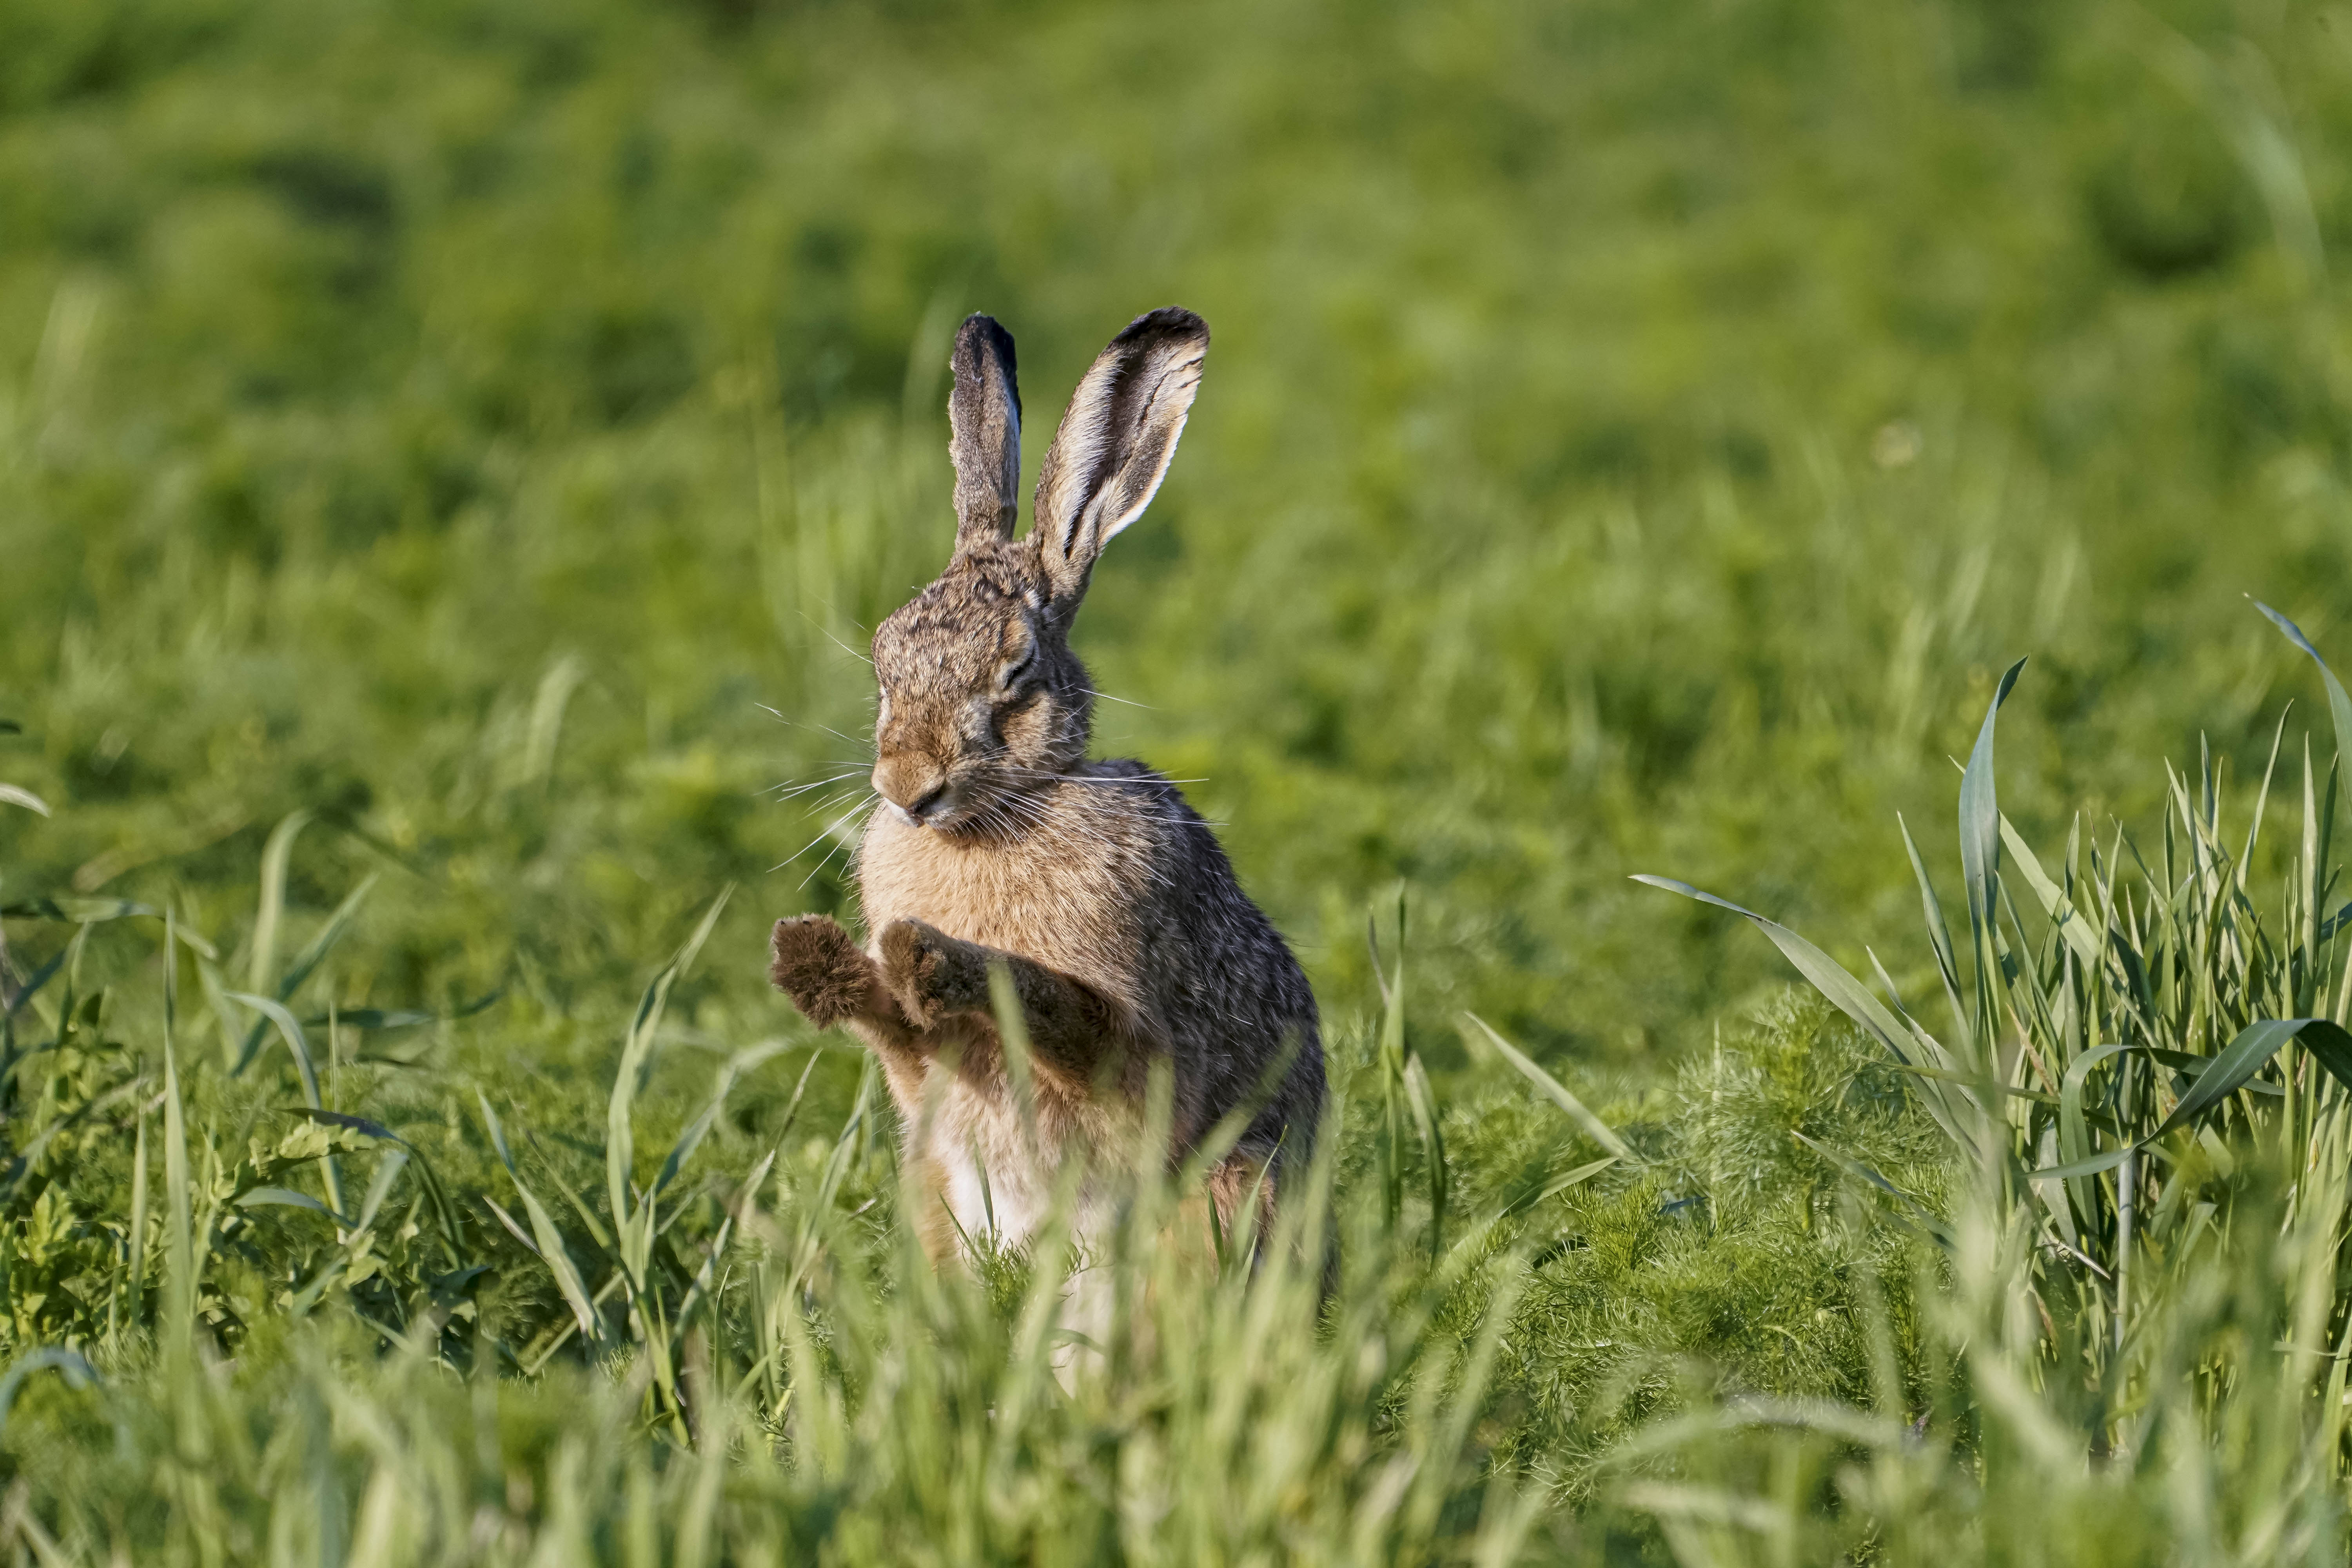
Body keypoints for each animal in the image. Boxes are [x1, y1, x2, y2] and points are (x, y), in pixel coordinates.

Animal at [768, 307, 1325, 1261]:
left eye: (1016, 671)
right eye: (884, 661)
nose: (907, 787)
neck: (992, 825)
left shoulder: (1137, 1056)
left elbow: (1062, 1011)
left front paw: (934, 958)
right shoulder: (925, 1084)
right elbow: (898, 1039)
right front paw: (812, 958)